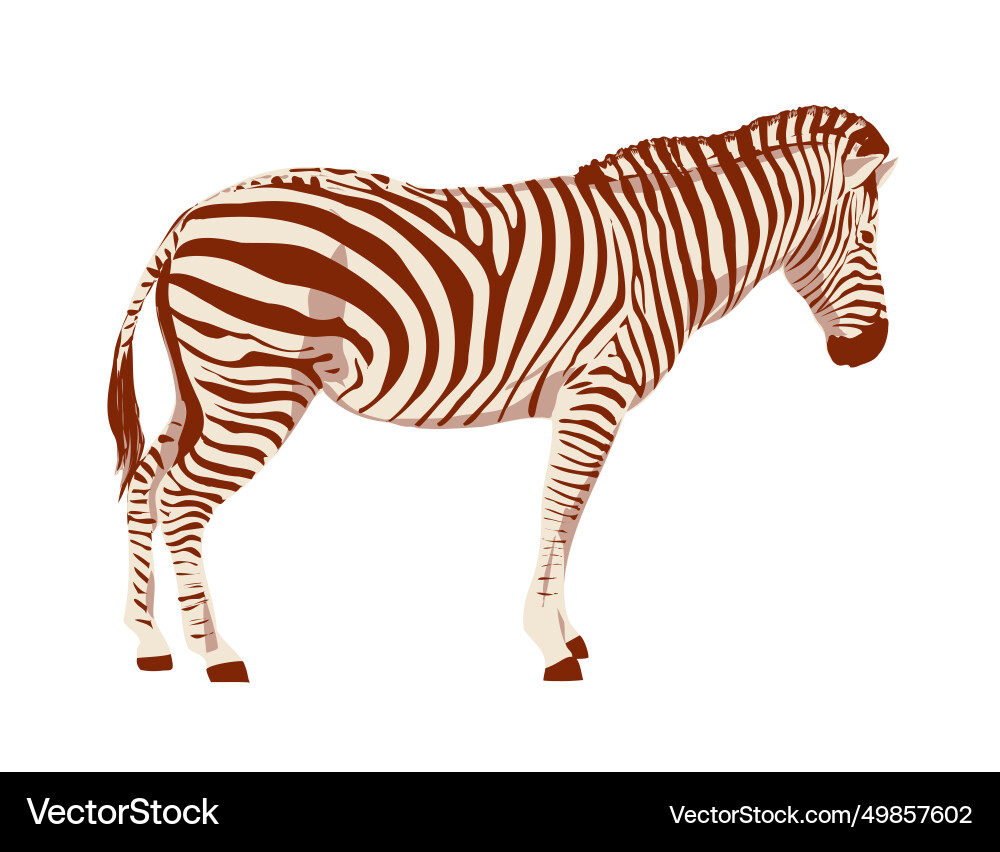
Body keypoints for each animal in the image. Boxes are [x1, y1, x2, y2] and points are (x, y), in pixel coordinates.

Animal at [108, 106, 897, 682]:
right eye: (867, 238)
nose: (872, 350)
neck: (666, 250)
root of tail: (189, 219)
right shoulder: (597, 387)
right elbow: (561, 506)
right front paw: (551, 646)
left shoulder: (588, 398)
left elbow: (570, 513)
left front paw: (569, 635)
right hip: (255, 384)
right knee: (182, 498)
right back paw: (216, 655)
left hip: (204, 386)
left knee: (146, 482)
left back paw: (151, 643)